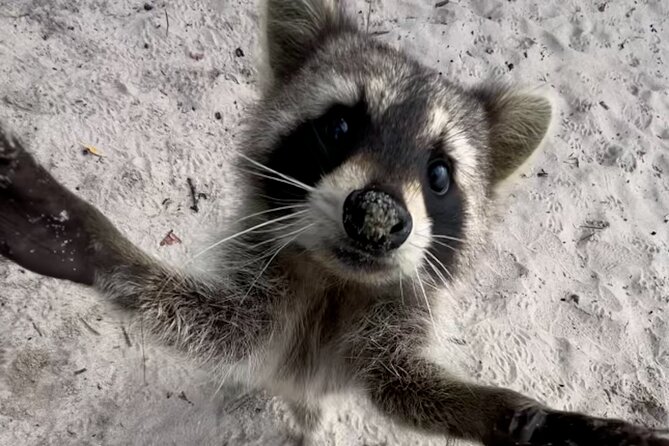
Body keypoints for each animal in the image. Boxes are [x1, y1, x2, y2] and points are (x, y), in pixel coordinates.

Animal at [0, 0, 667, 445]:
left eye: (440, 175)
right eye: (340, 126)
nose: (377, 218)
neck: (337, 280)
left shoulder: (399, 315)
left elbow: (405, 386)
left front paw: (520, 417)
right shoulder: (262, 271)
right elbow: (225, 328)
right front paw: (105, 249)